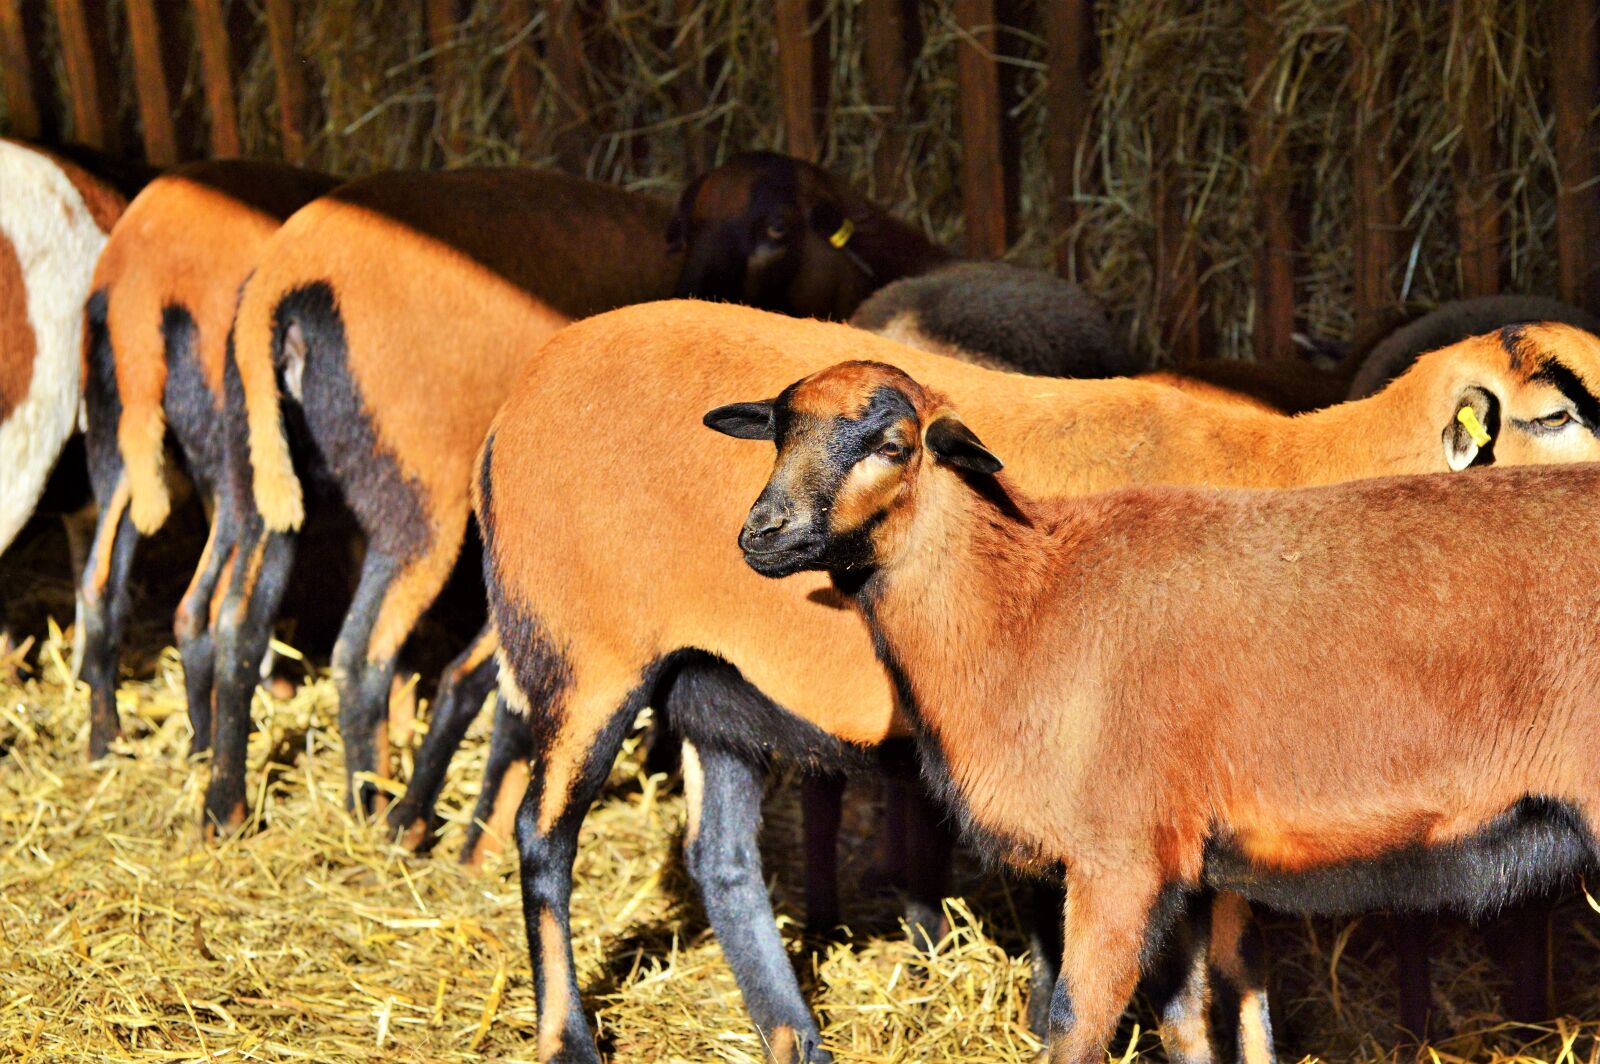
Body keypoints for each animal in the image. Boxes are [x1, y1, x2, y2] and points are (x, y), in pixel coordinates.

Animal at [77, 159, 340, 759]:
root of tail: (140, 291)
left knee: (101, 587)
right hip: (242, 463)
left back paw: (105, 741)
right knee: (199, 611)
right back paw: (206, 739)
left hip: (118, 441)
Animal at [211, 167, 682, 834]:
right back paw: (374, 807)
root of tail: (283, 287)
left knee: (238, 625)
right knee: (362, 653)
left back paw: (224, 808)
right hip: (417, 500)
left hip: (261, 477)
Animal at [473, 299, 1600, 1063]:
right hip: (584, 651)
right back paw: (568, 1035)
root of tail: (516, 396)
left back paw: (796, 1036)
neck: (1298, 464)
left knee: (722, 863)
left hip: (714, 685)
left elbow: (1236, 979)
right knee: (544, 838)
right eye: (1552, 415)